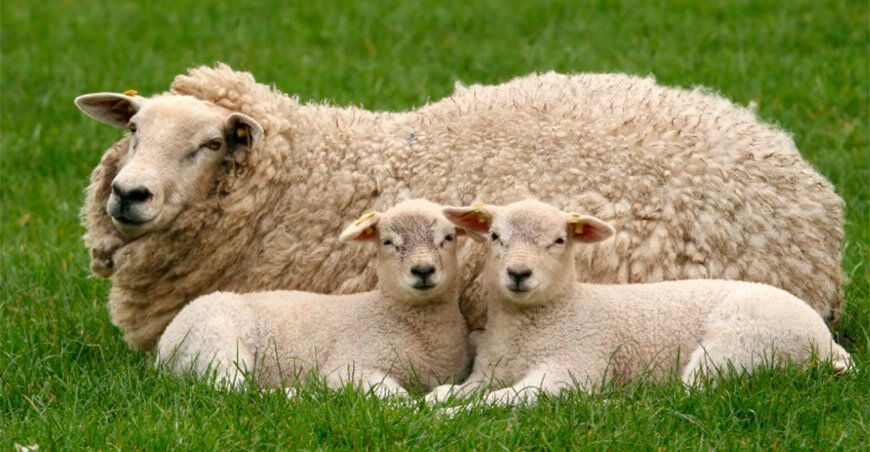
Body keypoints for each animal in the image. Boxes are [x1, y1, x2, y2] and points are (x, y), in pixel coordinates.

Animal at [156, 199, 471, 395]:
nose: (423, 270)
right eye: (387, 242)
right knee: (231, 389)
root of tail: (163, 347)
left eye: (448, 238)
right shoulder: (351, 366)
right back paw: (296, 395)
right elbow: (399, 399)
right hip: (215, 342)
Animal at [426, 200, 852, 407]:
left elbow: (502, 400)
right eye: (495, 236)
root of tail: (825, 341)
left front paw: (451, 417)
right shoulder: (487, 372)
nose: (518, 273)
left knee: (692, 393)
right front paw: (426, 406)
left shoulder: (571, 369)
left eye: (559, 240)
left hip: (741, 343)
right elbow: (448, 391)